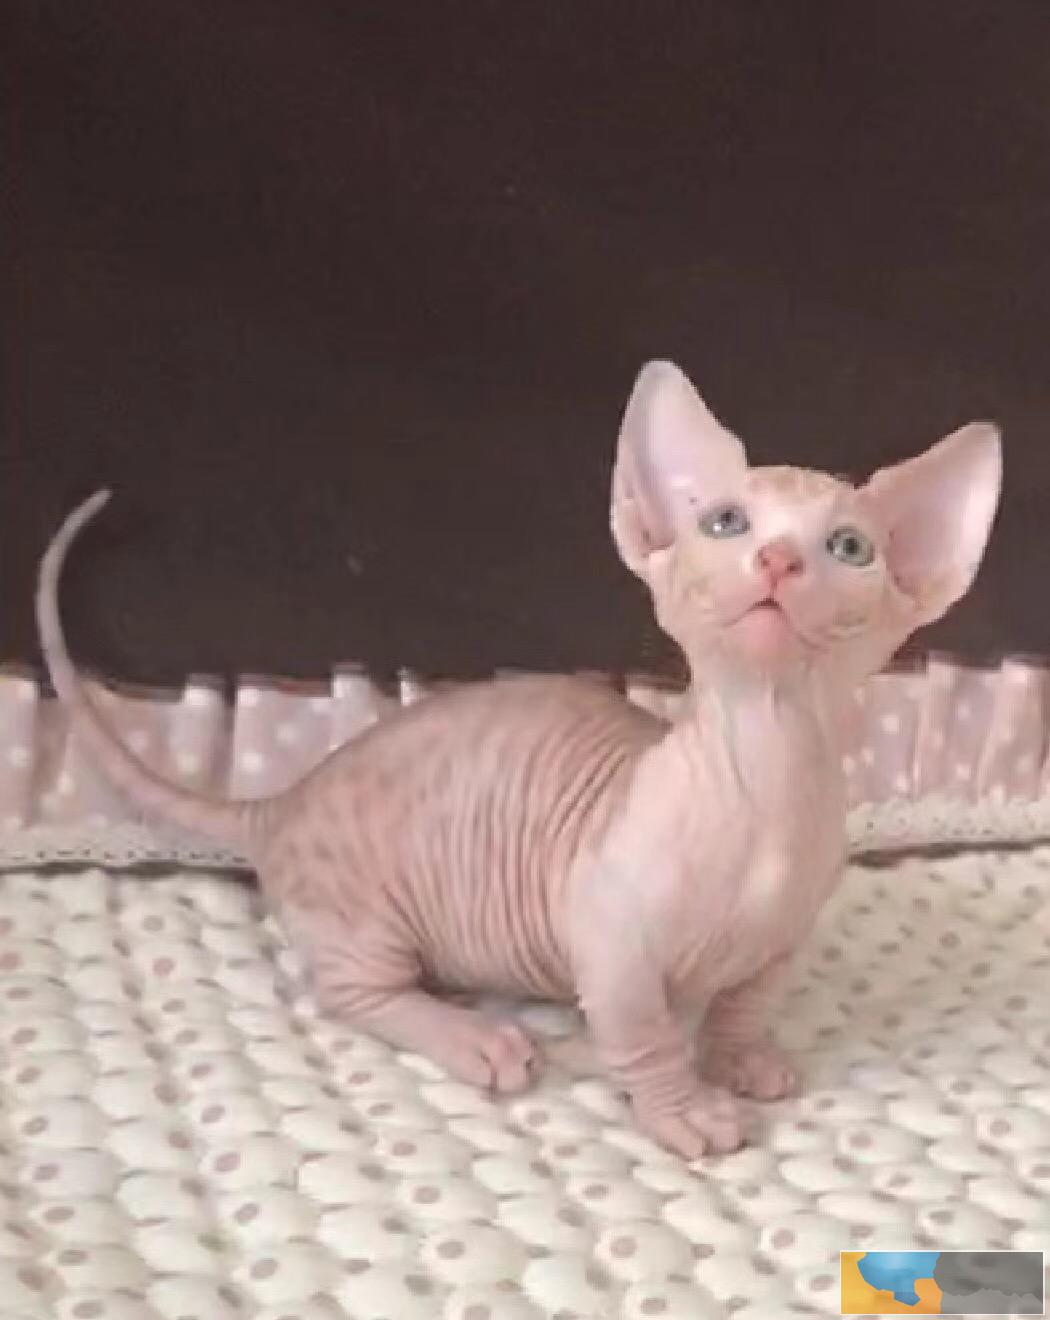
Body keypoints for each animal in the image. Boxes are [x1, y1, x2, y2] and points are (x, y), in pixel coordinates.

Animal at [35, 361, 1001, 1159]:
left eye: (849, 547)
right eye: (726, 522)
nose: (775, 559)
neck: (768, 766)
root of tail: (285, 795)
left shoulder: (782, 944)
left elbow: (742, 1004)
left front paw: (742, 1059)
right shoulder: (609, 941)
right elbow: (646, 1036)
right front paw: (684, 1109)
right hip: (368, 916)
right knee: (352, 993)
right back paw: (475, 1038)